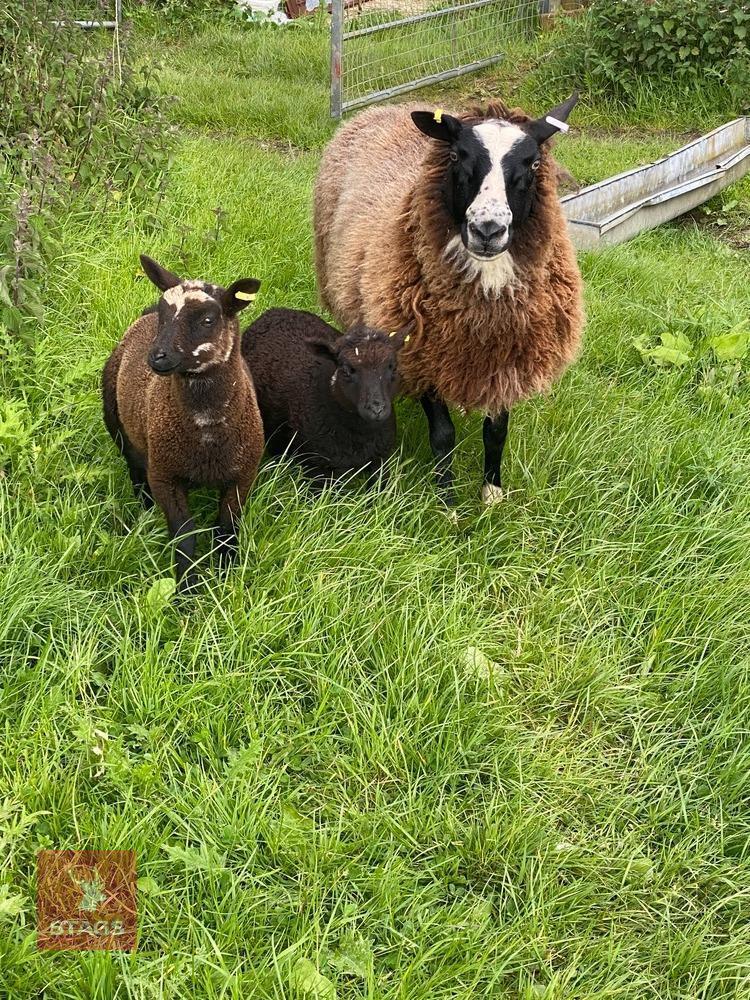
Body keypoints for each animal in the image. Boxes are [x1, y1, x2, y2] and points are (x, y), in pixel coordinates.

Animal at [102, 255, 263, 592]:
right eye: (165, 317)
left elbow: (226, 531)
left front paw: (226, 579)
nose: (158, 356)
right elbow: (185, 538)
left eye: (208, 320)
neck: (208, 434)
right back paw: (145, 509)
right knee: (134, 467)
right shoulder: (165, 476)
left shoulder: (243, 476)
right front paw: (187, 592)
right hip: (116, 423)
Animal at [242, 307, 407, 485]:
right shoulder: (318, 469)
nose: (377, 409)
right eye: (346, 370)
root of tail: (276, 311)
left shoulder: (380, 461)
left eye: (393, 367)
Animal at [313, 94, 584, 506]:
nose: (488, 230)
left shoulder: (507, 359)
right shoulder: (420, 354)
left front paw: (491, 496)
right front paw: (447, 502)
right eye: (456, 155)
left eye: (534, 163)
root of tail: (394, 105)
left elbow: (496, 434)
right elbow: (443, 435)